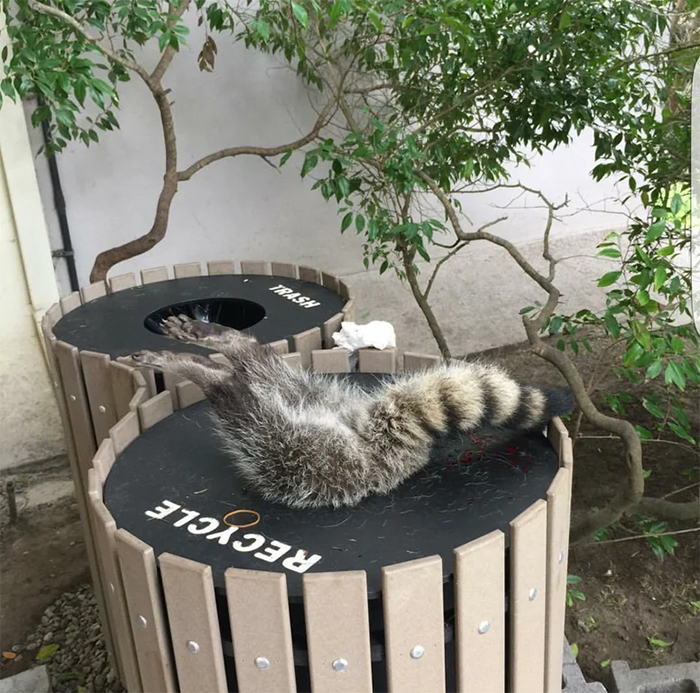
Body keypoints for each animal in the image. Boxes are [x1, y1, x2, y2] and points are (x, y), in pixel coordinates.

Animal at [133, 314, 576, 508]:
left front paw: (204, 368)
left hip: (303, 449)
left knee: (243, 399)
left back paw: (206, 367)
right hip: (313, 397)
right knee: (261, 365)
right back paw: (221, 344)